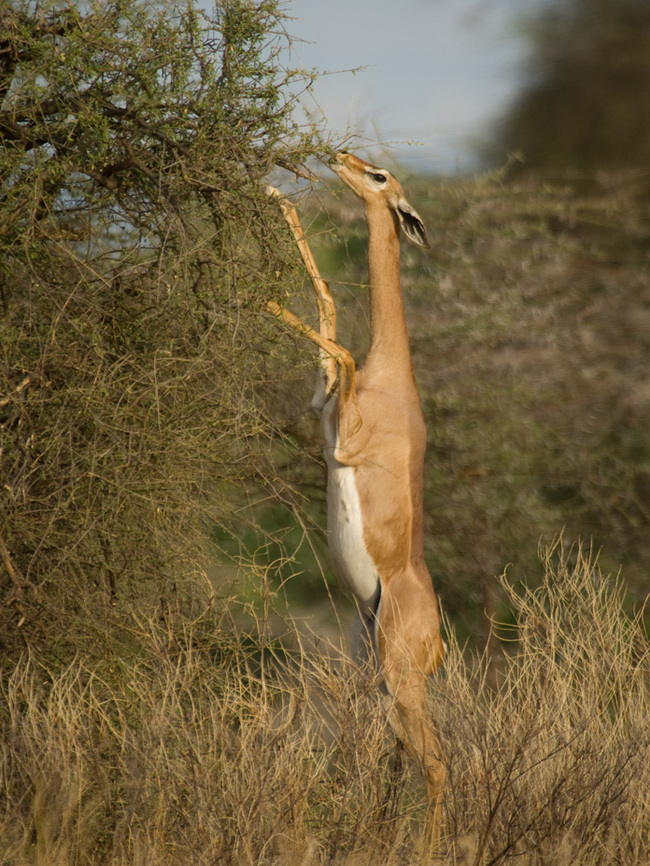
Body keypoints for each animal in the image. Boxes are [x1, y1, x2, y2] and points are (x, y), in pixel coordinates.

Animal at [266, 152, 442, 852]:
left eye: (381, 177)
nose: (341, 157)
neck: (390, 379)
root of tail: (437, 639)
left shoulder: (346, 443)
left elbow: (338, 339)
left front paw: (267, 298)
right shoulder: (323, 411)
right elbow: (331, 311)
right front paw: (278, 200)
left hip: (402, 680)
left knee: (441, 765)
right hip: (377, 677)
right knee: (398, 756)